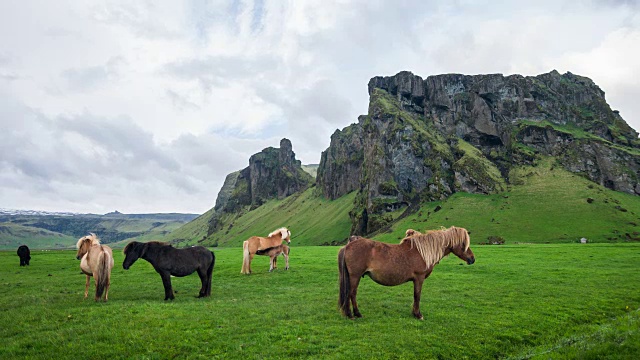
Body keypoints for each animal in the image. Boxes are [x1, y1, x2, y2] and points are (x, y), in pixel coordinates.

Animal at [338, 226, 472, 320]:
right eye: (464, 243)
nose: (472, 259)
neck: (422, 252)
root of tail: (348, 245)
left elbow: (415, 296)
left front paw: (414, 313)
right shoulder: (419, 278)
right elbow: (417, 295)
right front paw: (418, 314)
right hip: (355, 276)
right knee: (352, 293)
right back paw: (354, 314)